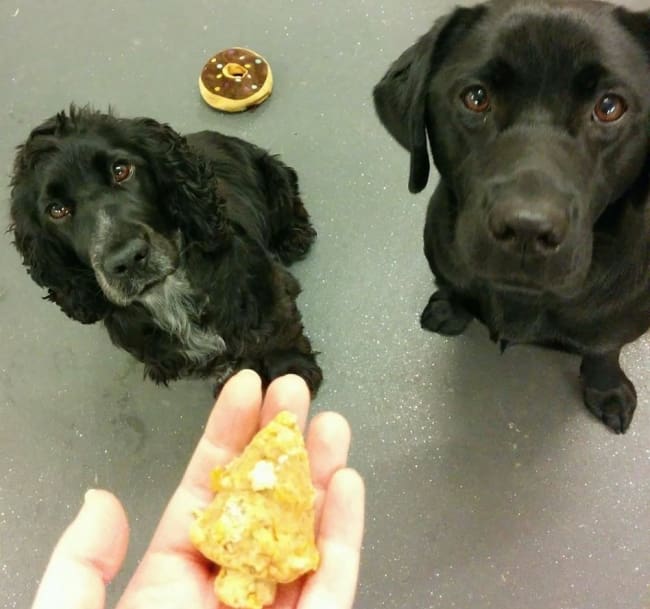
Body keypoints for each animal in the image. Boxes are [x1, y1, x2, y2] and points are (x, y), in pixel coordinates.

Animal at [8, 104, 322, 390]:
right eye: (56, 210)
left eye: (121, 170)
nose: (128, 260)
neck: (168, 290)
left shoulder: (264, 289)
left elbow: (277, 333)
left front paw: (290, 372)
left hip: (274, 173)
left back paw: (293, 236)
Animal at [372, 0, 648, 432]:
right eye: (476, 97)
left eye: (609, 107)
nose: (526, 229)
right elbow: (453, 286)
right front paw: (450, 307)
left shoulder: (618, 321)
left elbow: (603, 350)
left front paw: (608, 390)